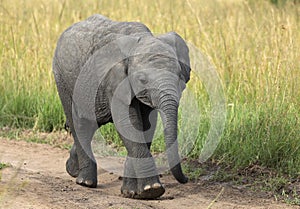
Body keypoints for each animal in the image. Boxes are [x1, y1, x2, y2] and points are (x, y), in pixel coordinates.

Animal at [52, 14, 191, 199]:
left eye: (180, 78)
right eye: (142, 80)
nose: (186, 179)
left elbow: (146, 126)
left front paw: (131, 192)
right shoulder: (115, 80)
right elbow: (128, 123)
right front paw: (152, 190)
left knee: (91, 124)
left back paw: (72, 170)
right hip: (63, 79)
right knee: (79, 124)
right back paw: (85, 182)